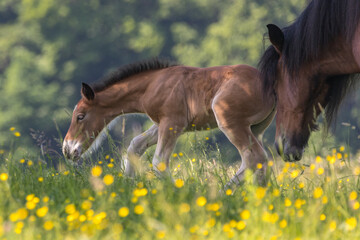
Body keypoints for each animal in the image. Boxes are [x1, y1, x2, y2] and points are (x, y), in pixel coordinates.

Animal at [62, 57, 276, 188]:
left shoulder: (172, 122)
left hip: (230, 122)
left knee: (253, 157)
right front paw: (127, 187)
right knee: (258, 160)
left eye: (80, 116)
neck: (152, 84)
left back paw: (224, 195)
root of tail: (271, 85)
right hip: (255, 128)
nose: (67, 149)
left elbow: (159, 162)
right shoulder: (161, 123)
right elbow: (135, 145)